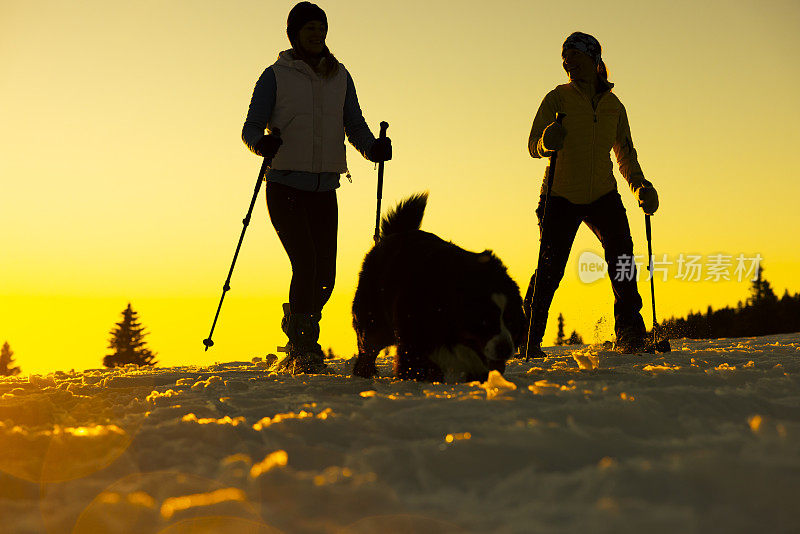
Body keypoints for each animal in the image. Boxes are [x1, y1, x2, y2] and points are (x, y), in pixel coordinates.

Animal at [350, 195, 524, 384]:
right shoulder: (414, 338)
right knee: (367, 353)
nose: (505, 349)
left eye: (511, 320)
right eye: (484, 320)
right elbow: (413, 368)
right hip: (374, 323)